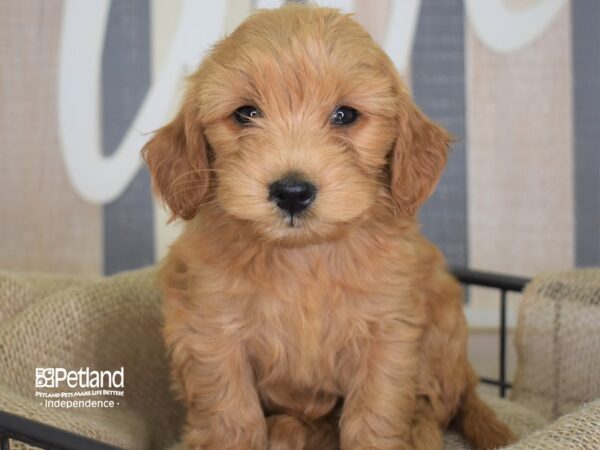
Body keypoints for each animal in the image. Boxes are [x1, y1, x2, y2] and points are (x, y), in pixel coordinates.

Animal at [143, 4, 512, 450]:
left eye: (344, 116)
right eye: (246, 113)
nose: (292, 191)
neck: (304, 256)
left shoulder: (387, 334)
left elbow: (375, 414)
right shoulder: (211, 332)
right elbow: (230, 413)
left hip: (442, 328)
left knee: (430, 406)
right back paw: (289, 429)